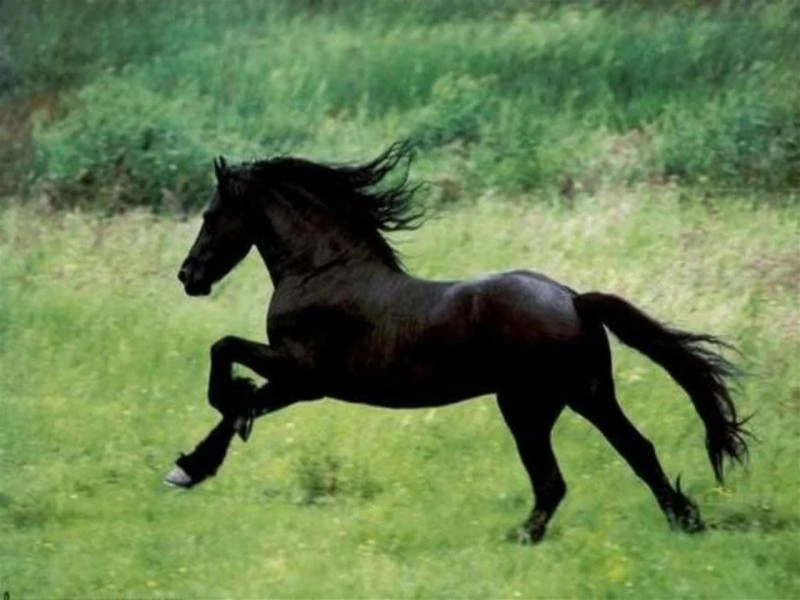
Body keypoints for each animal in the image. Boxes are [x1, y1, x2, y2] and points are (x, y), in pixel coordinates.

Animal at [166, 142, 749, 543]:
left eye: (211, 215)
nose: (187, 276)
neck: (322, 272)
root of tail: (574, 299)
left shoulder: (303, 371)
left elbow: (223, 354)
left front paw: (224, 407)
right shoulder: (299, 384)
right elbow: (238, 408)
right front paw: (191, 467)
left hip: (531, 406)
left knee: (560, 478)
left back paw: (524, 537)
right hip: (582, 396)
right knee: (632, 452)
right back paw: (685, 521)